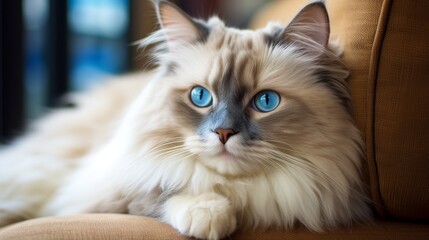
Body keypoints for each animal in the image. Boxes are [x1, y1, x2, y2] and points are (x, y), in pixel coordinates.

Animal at [0, 0, 370, 239]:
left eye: (265, 102)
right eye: (201, 97)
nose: (224, 132)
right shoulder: (113, 187)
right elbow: (167, 191)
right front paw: (208, 216)